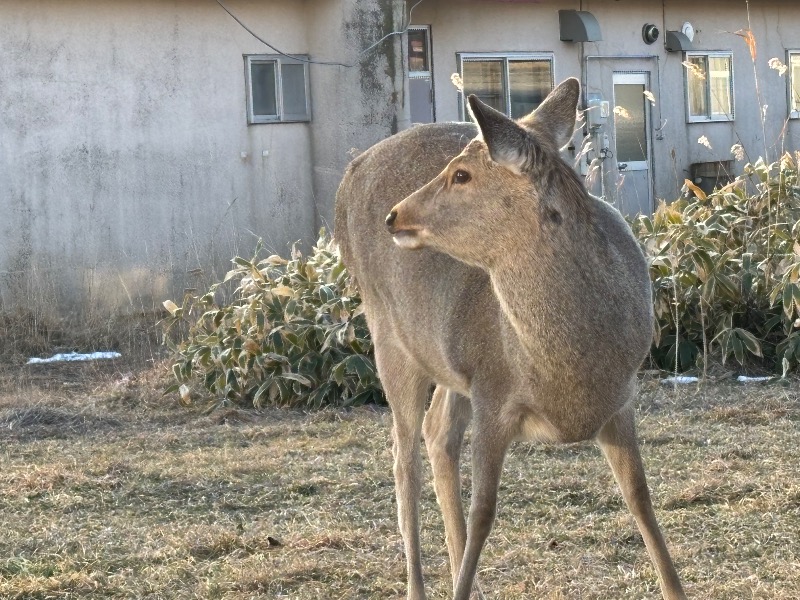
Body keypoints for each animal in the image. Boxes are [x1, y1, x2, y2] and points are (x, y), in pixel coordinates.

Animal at [334, 76, 684, 600]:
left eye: (461, 174)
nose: (394, 215)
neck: (570, 372)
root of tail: (349, 173)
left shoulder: (621, 397)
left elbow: (641, 500)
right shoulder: (493, 392)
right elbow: (484, 512)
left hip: (451, 368)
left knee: (437, 433)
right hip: (388, 338)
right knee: (403, 458)